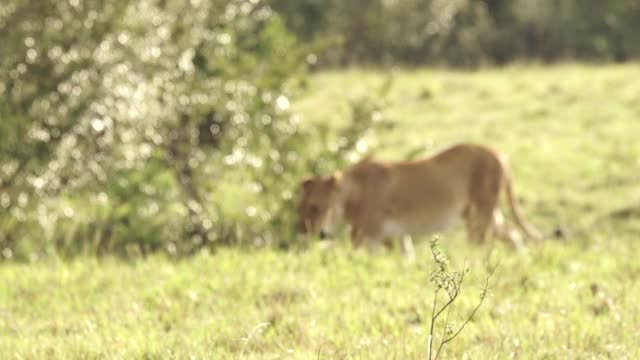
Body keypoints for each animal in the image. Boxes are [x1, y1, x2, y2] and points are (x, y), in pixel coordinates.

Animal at [296, 142, 540, 249]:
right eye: (300, 209)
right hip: (481, 212)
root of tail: (499, 154)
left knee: (481, 243)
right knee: (512, 233)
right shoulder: (395, 236)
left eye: (315, 207)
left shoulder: (370, 236)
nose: (305, 232)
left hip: (481, 214)